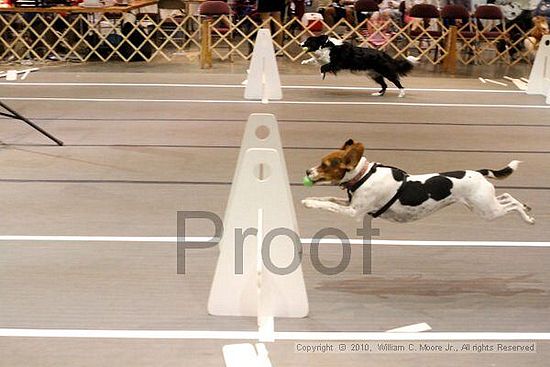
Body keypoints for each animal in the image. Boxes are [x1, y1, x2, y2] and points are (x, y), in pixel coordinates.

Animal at [300, 140, 536, 224]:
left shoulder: (353, 212)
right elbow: (328, 198)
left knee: (511, 205)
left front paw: (310, 203)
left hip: (487, 211)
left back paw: (528, 218)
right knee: (507, 197)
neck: (364, 175)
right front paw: (311, 198)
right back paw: (526, 206)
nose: (307, 171)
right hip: (482, 205)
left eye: (325, 165)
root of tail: (478, 172)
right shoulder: (350, 204)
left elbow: (327, 204)